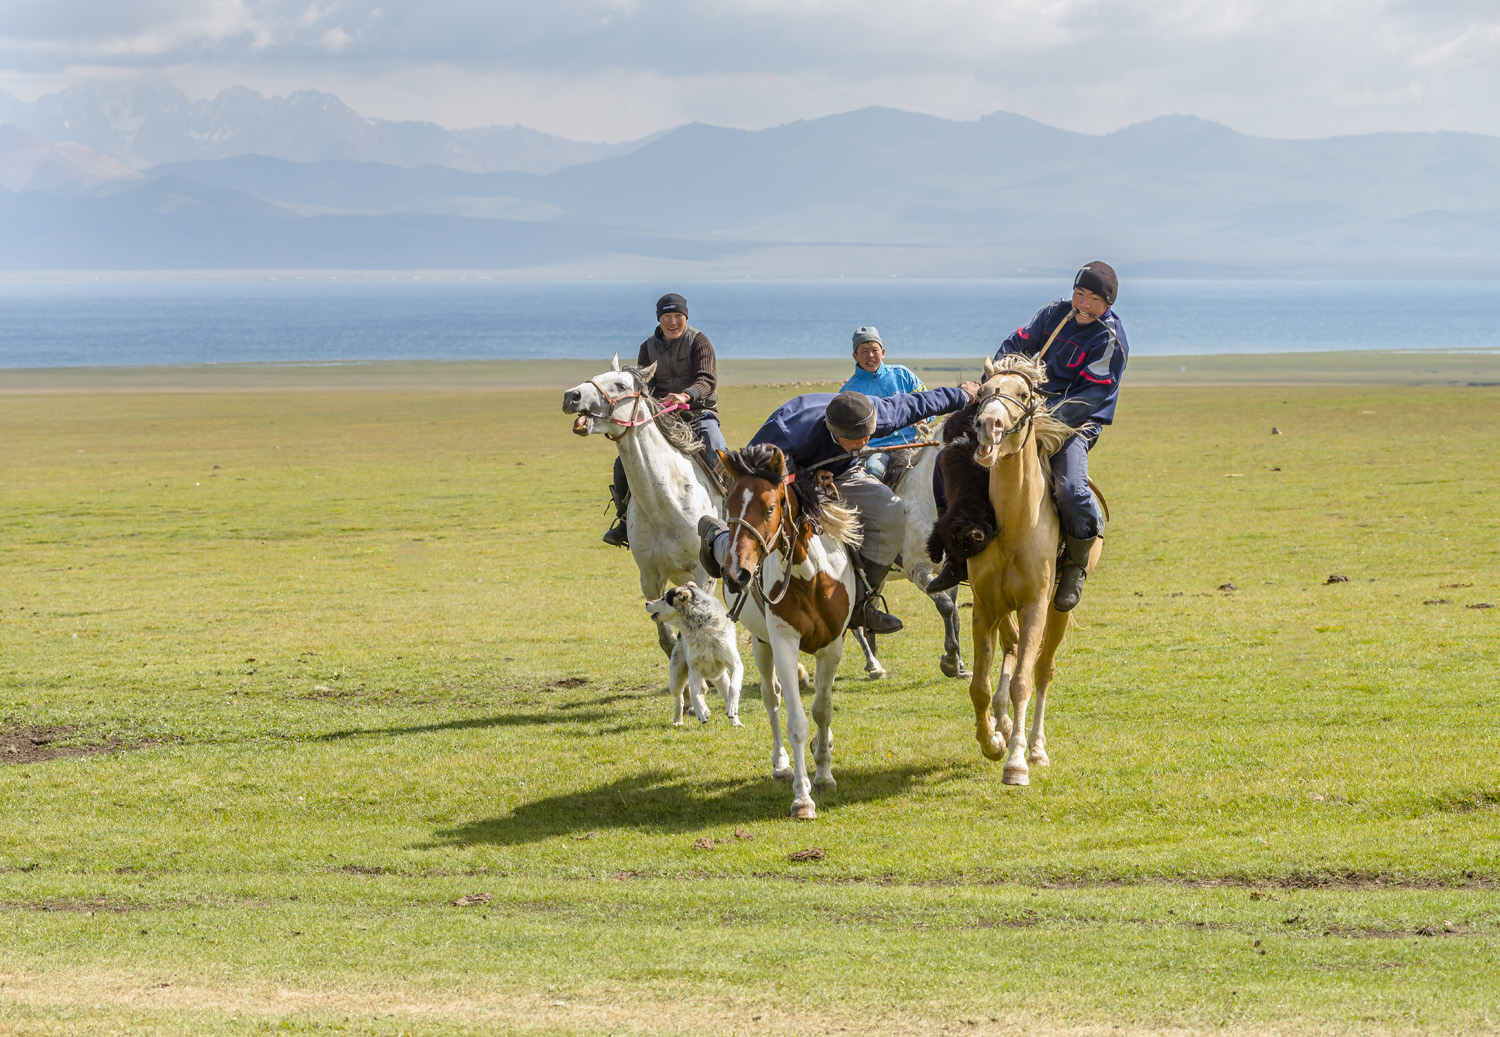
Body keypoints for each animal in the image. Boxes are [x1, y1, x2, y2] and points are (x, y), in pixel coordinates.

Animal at [564, 357, 726, 666]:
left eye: (621, 385)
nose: (571, 396)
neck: (664, 503)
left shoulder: (703, 574)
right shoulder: (650, 578)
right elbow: (668, 641)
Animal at [642, 579, 741, 726]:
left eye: (664, 598)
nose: (647, 603)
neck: (699, 626)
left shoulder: (735, 664)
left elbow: (734, 687)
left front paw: (732, 708)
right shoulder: (694, 669)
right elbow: (694, 693)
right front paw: (702, 712)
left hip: (720, 678)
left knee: (724, 691)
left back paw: (736, 722)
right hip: (676, 678)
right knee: (680, 698)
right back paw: (679, 720)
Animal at [720, 444, 864, 822]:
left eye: (770, 508)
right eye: (729, 506)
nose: (736, 574)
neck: (810, 577)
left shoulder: (833, 646)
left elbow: (822, 710)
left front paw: (825, 773)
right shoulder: (784, 641)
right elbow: (796, 720)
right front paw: (802, 798)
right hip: (761, 644)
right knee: (772, 698)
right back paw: (782, 764)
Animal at [846, 444, 972, 681]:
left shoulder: (950, 574)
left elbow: (956, 617)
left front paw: (960, 666)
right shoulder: (918, 570)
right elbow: (946, 606)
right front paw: (950, 662)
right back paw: (874, 665)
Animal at [960, 357, 1104, 786]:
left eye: (1024, 394)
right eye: (984, 389)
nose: (988, 424)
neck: (1015, 522)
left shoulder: (1035, 607)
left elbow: (1024, 681)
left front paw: (1016, 762)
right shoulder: (984, 608)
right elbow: (979, 686)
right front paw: (992, 741)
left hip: (1058, 611)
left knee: (1042, 670)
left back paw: (1036, 748)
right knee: (1009, 652)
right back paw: (1004, 727)